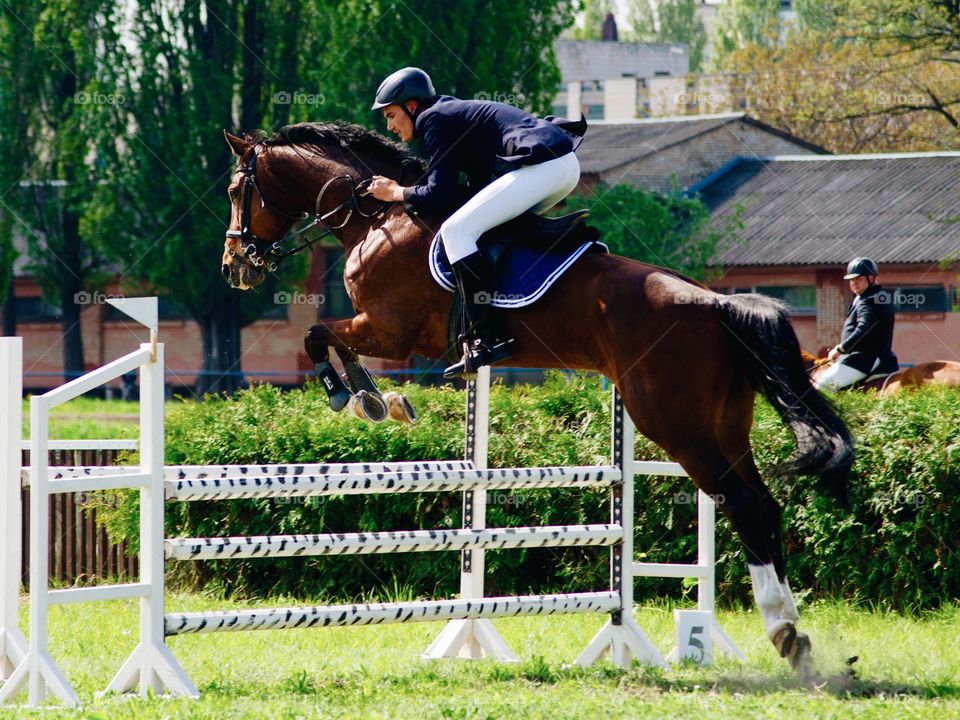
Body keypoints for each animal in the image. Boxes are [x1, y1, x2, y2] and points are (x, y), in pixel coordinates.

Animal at [219, 122, 856, 668]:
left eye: (234, 190)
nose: (233, 267)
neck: (378, 217)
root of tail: (719, 302)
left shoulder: (389, 329)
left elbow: (317, 334)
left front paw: (354, 397)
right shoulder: (381, 329)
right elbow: (332, 340)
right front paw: (377, 400)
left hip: (674, 423)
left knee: (741, 502)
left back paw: (783, 632)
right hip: (723, 422)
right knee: (762, 503)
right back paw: (795, 636)